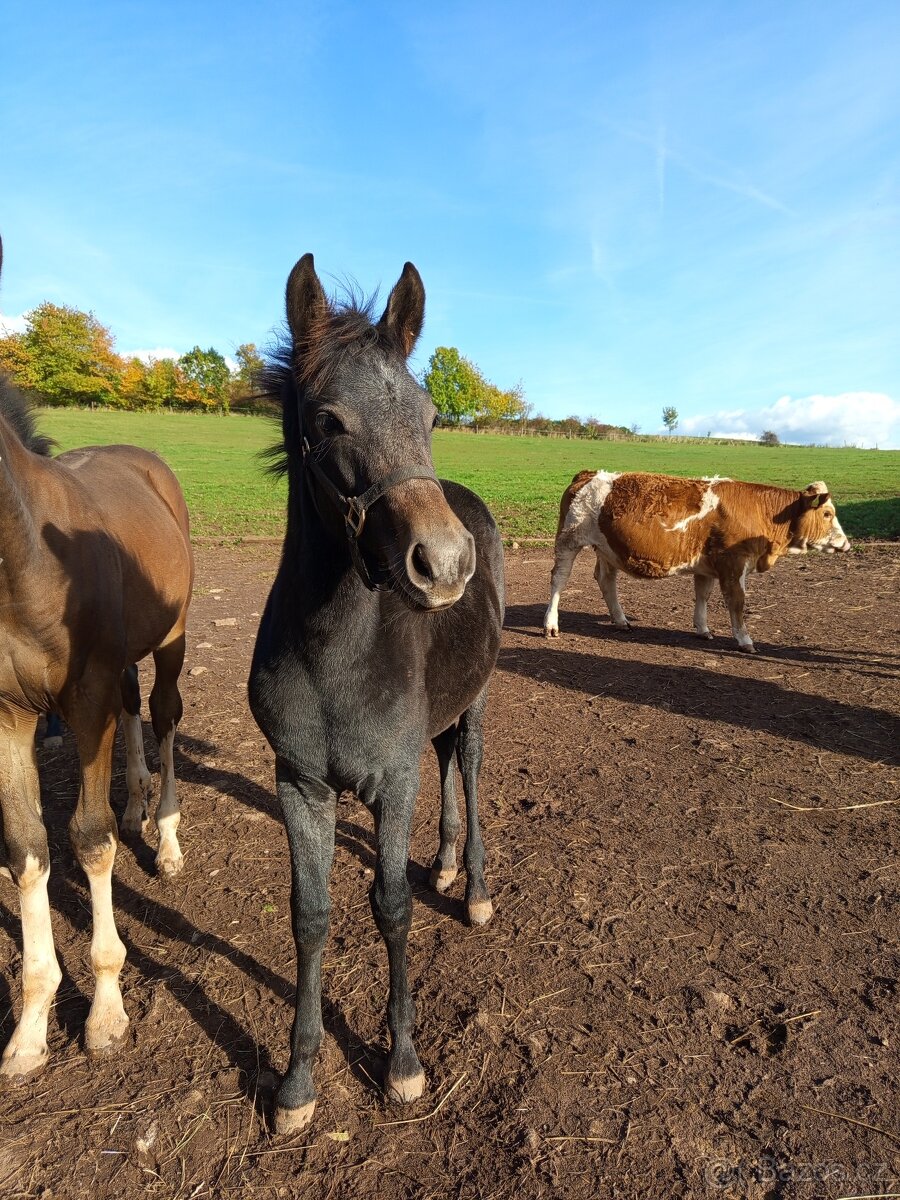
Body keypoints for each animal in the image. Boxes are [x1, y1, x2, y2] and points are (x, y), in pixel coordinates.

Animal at [248, 254, 505, 1133]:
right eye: (328, 421)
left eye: (429, 414)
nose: (444, 564)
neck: (335, 656)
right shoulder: (300, 783)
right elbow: (311, 915)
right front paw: (296, 1082)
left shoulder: (392, 779)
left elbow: (389, 907)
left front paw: (401, 1064)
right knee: (447, 763)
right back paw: (449, 863)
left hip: (475, 704)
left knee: (466, 766)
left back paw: (476, 889)